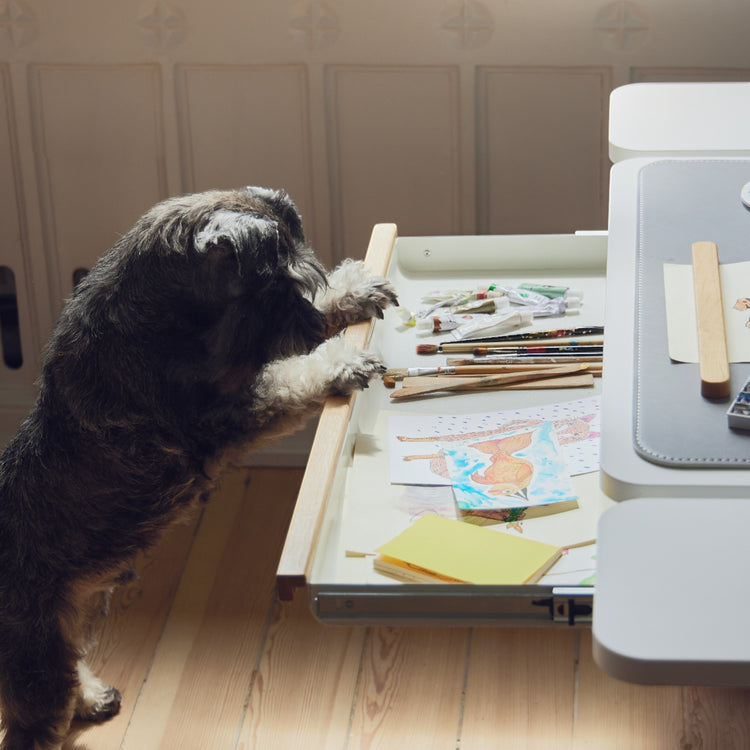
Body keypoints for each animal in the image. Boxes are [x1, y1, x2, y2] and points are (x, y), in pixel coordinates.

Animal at [0, 185, 400, 748]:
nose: (309, 327)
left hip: (74, 617)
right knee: (32, 723)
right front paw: (339, 363)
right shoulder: (227, 414)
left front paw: (354, 291)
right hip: (35, 661)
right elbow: (290, 376)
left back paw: (93, 696)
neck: (159, 322)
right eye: (277, 284)